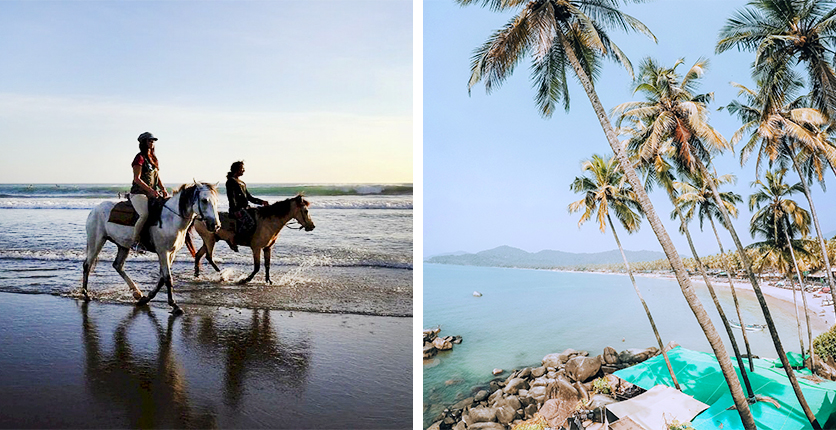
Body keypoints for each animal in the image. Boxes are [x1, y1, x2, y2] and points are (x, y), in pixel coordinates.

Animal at [81, 181, 219, 312]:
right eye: (204, 200)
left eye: (216, 201)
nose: (215, 225)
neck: (172, 219)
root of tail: (94, 210)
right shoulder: (163, 252)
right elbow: (167, 278)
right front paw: (174, 305)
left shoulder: (171, 253)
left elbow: (162, 278)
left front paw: (147, 298)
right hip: (96, 241)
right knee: (87, 264)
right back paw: (86, 294)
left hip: (123, 245)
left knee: (117, 265)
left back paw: (137, 293)